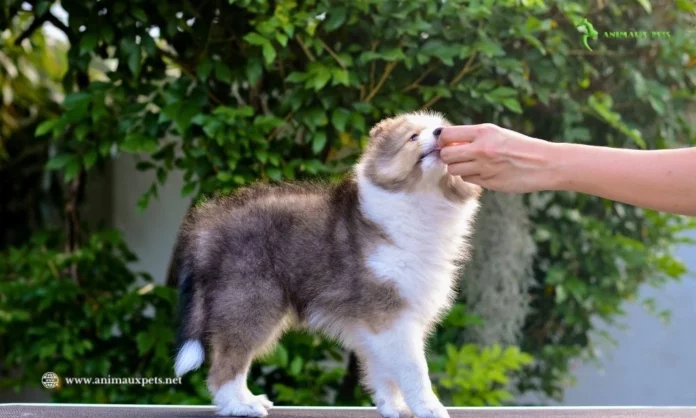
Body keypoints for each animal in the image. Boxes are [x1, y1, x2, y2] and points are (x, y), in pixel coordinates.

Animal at [171, 111, 482, 418]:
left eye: (438, 127)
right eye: (413, 136)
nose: (441, 132)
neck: (419, 199)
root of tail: (206, 229)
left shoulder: (380, 322)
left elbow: (384, 370)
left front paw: (394, 407)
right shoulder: (389, 312)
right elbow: (414, 368)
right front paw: (429, 407)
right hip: (251, 301)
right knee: (225, 365)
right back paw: (240, 405)